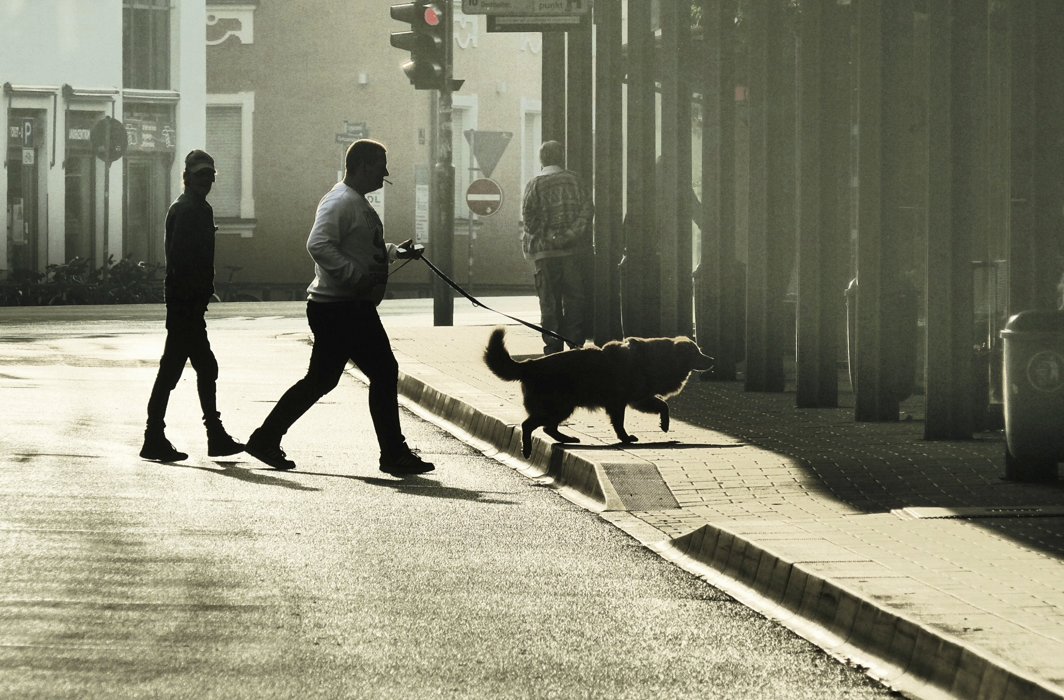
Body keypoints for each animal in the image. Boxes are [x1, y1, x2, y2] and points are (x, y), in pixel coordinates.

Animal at [485, 327, 715, 457]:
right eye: (697, 353)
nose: (712, 359)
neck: (656, 359)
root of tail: (530, 365)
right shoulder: (626, 401)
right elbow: (646, 412)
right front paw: (651, 429)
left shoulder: (634, 400)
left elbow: (659, 405)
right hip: (559, 406)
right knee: (529, 425)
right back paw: (527, 449)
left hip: (561, 407)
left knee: (548, 428)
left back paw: (567, 439)